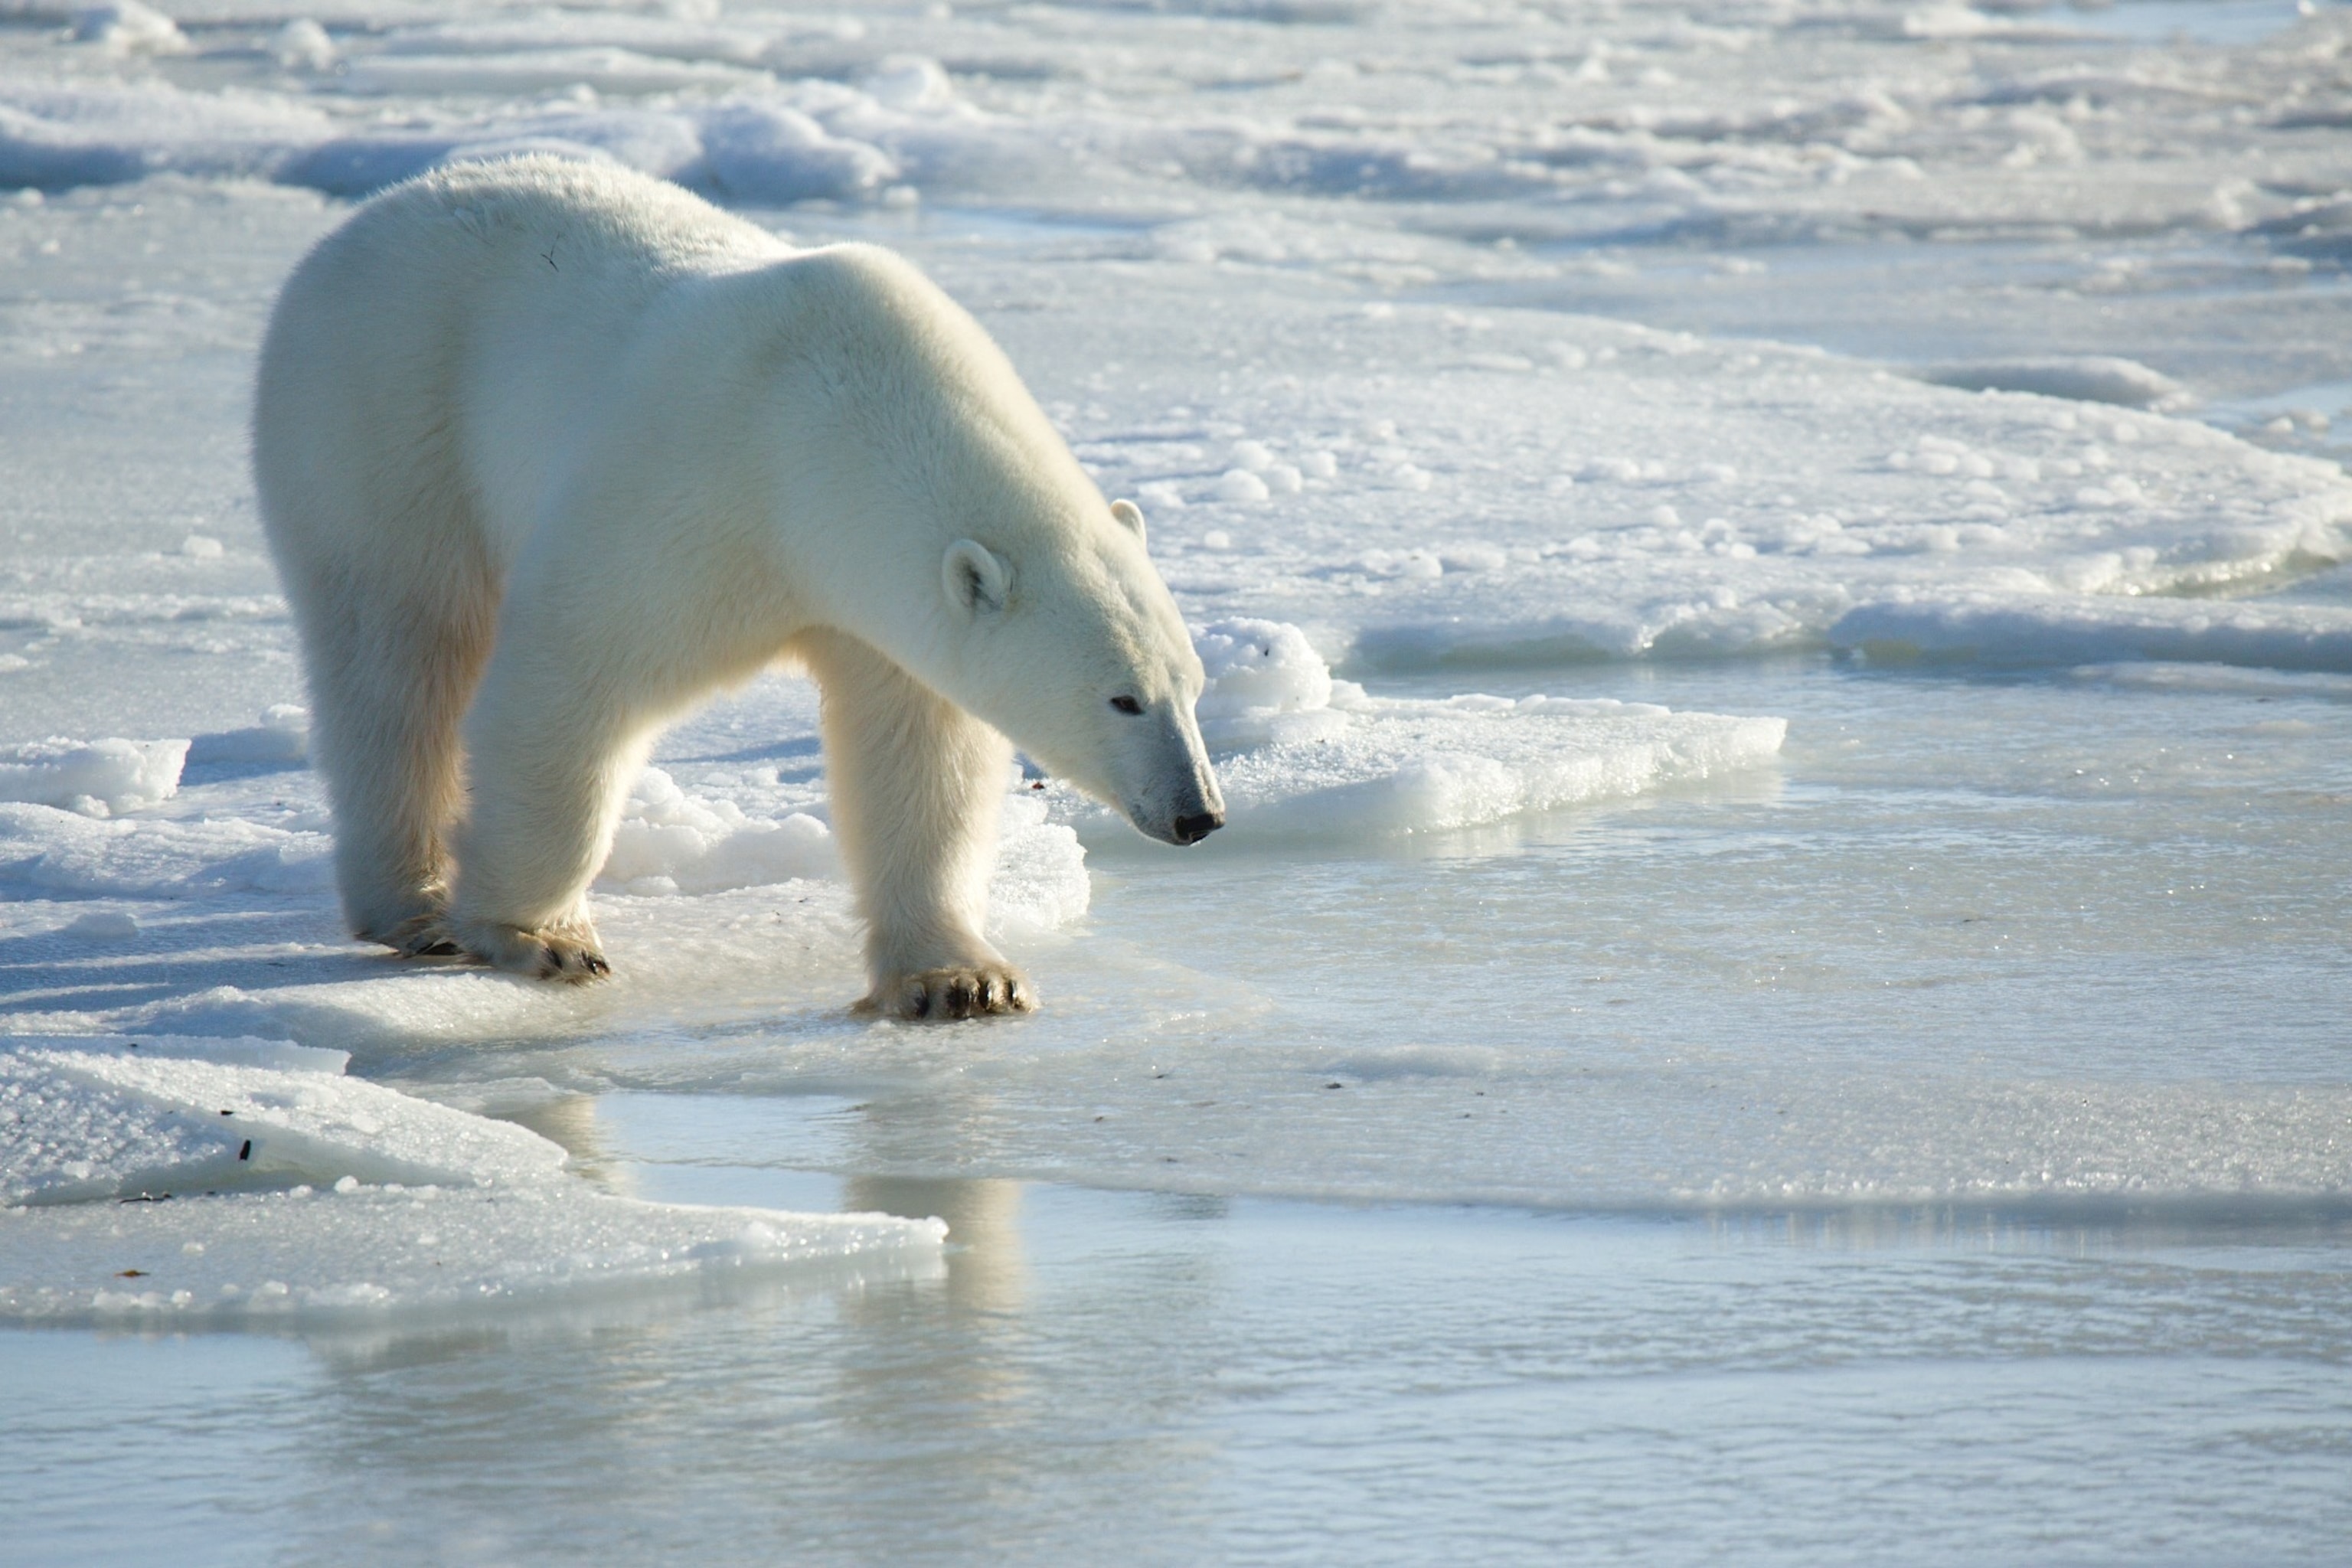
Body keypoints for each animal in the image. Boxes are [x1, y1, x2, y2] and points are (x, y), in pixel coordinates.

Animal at [250, 156, 1223, 1020]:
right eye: (1123, 697)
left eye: (1194, 686)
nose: (1200, 814)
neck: (821, 431)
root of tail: (367, 218)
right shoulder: (694, 495)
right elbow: (572, 677)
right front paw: (540, 934)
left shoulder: (874, 603)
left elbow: (919, 754)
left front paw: (961, 978)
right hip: (381, 416)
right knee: (399, 652)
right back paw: (417, 906)